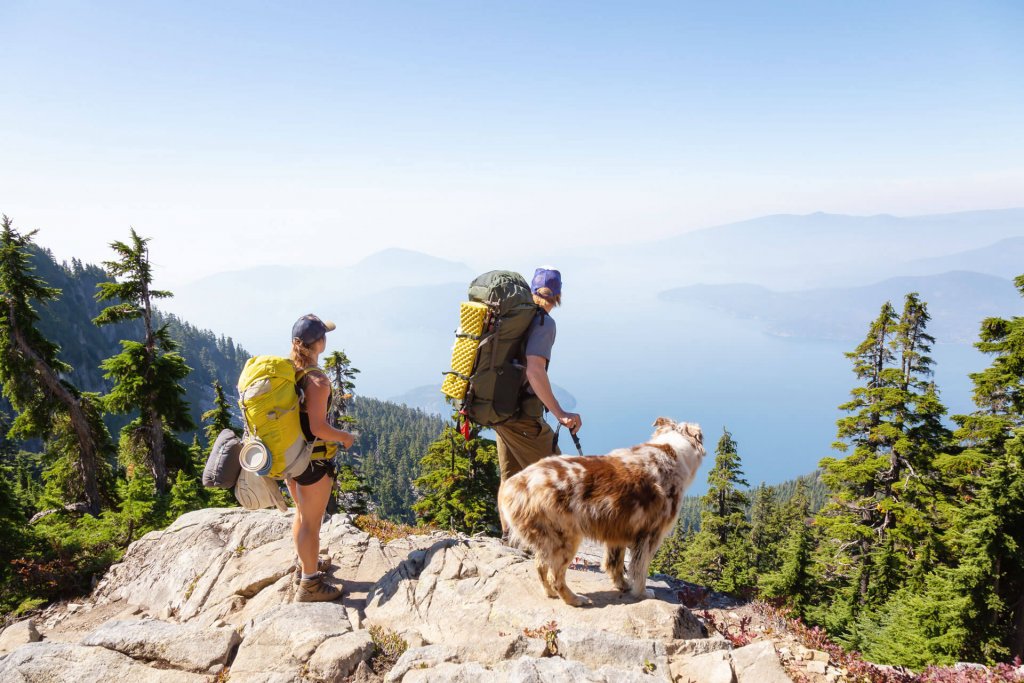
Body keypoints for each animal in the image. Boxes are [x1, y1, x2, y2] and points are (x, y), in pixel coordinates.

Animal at [495, 419, 704, 606]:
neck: (671, 450)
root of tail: (515, 484)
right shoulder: (650, 534)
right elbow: (640, 570)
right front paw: (643, 593)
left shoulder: (618, 532)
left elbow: (615, 565)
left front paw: (623, 585)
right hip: (566, 540)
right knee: (555, 576)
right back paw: (575, 599)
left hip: (548, 541)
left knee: (540, 567)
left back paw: (550, 594)